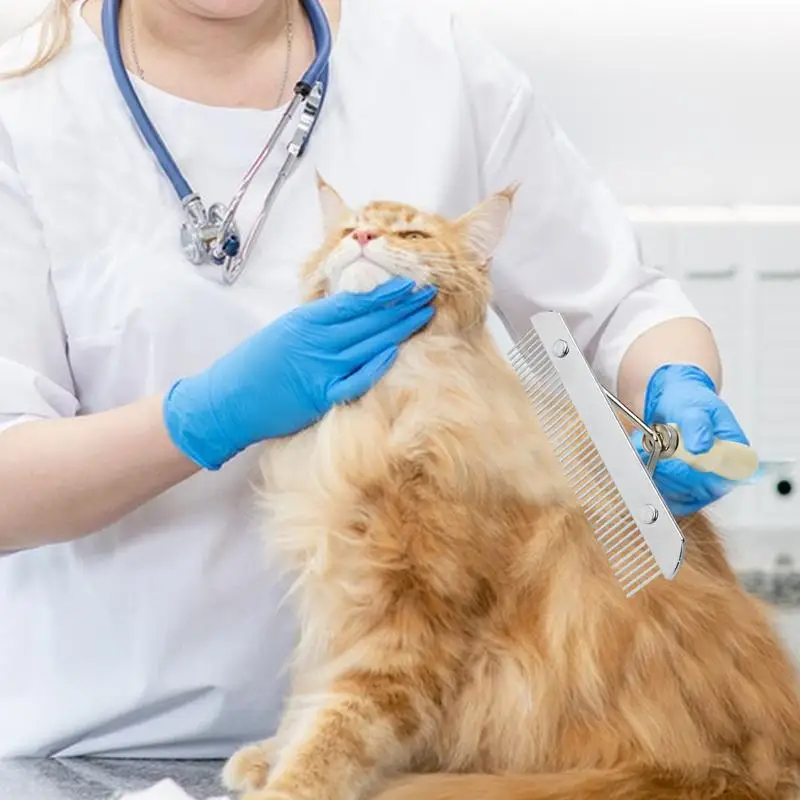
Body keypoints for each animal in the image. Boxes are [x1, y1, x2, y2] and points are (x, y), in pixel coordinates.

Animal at [222, 177, 800, 800]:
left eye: (412, 233)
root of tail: (754, 765)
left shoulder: (411, 620)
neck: (389, 405)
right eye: (348, 227)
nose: (364, 235)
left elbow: (340, 724)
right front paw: (268, 756)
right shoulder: (341, 597)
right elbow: (309, 698)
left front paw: (289, 783)